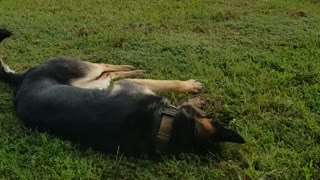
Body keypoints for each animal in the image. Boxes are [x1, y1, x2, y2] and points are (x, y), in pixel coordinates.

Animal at [0, 28, 245, 157]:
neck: (162, 127)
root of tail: (24, 76)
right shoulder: (136, 88)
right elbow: (167, 83)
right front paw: (190, 88)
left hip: (90, 83)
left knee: (108, 74)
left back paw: (131, 67)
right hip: (82, 69)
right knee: (104, 66)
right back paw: (131, 67)